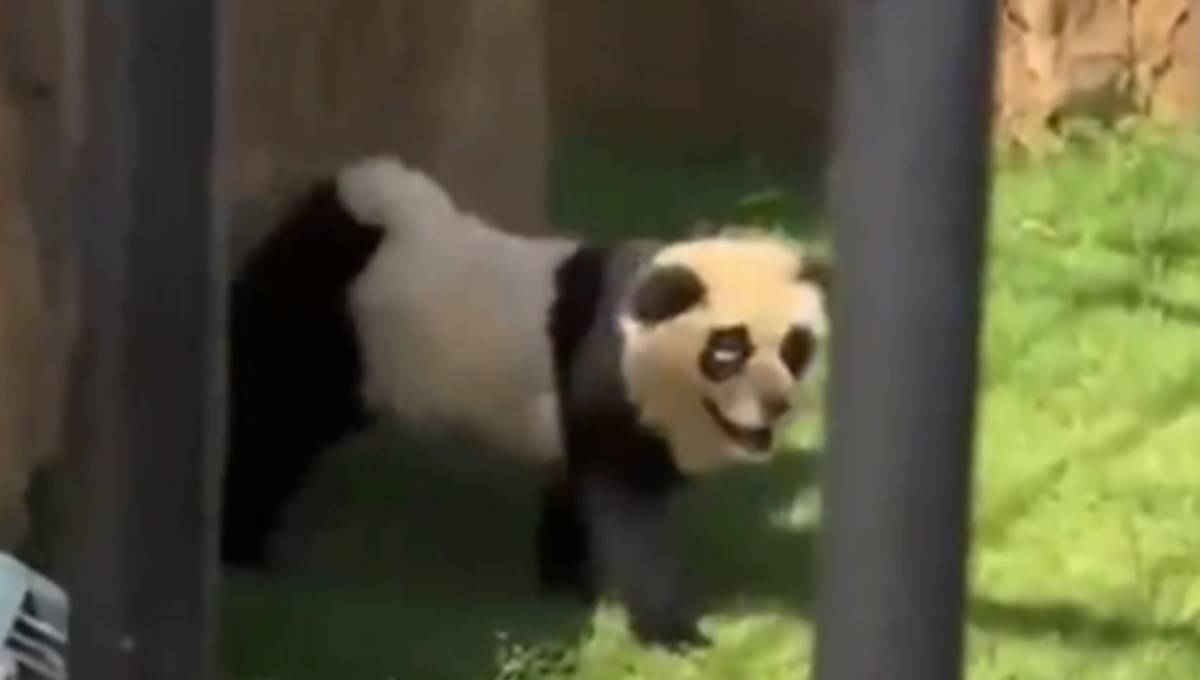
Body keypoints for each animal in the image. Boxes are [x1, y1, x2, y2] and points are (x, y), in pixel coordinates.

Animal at [221, 156, 831, 649]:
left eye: (794, 347)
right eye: (728, 350)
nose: (777, 406)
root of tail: (338, 210)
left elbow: (574, 498)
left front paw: (566, 592)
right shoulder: (607, 378)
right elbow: (629, 514)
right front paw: (675, 634)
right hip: (329, 329)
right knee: (272, 427)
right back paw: (242, 551)